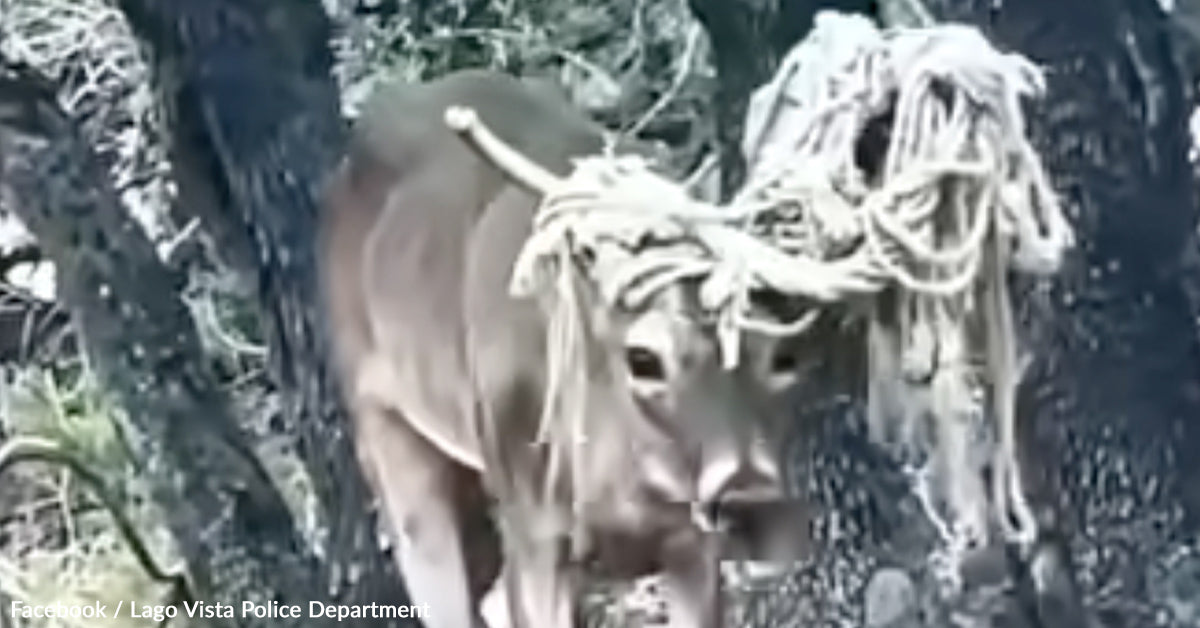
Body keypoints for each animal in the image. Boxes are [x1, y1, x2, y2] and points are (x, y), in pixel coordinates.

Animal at [317, 68, 827, 628]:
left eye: (784, 356)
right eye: (644, 358)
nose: (750, 499)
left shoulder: (691, 543)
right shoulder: (535, 528)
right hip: (382, 422)